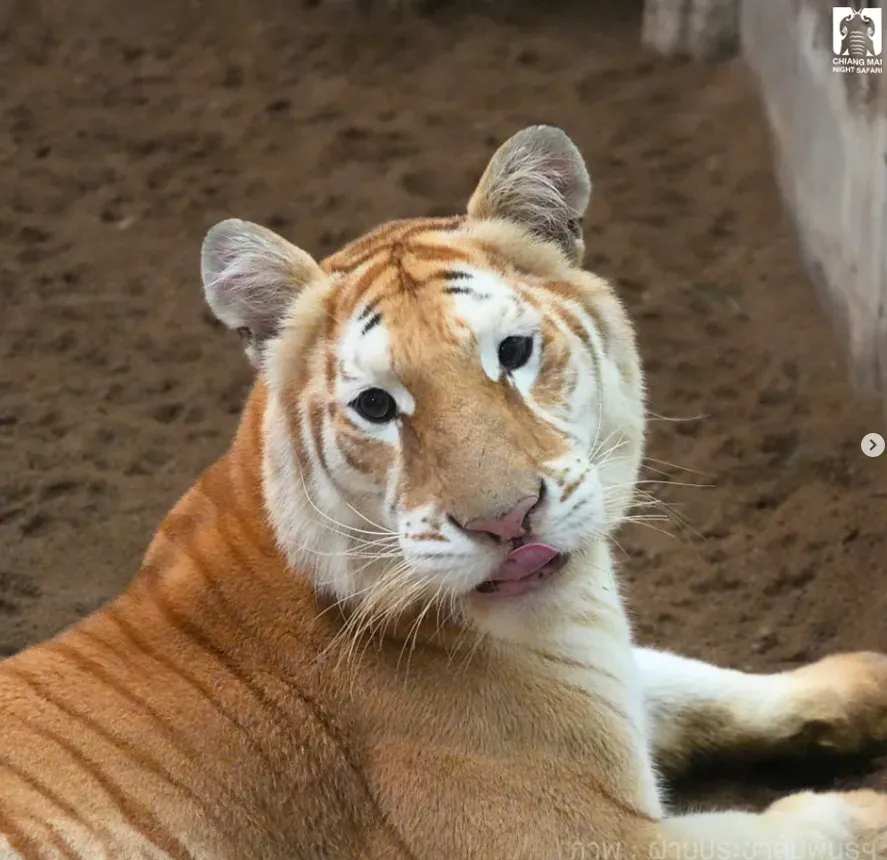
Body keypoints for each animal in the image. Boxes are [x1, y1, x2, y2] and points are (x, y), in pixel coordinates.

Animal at [2, 125, 887, 860]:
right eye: (375, 406)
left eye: (513, 352)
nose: (506, 519)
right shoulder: (576, 838)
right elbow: (798, 829)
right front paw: (870, 811)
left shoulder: (614, 676)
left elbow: (691, 678)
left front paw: (866, 679)